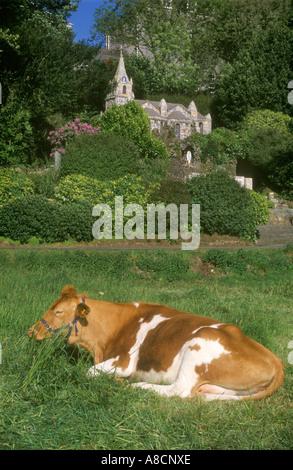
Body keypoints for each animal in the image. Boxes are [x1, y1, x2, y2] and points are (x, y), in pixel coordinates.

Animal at [28, 284, 282, 402]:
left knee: (178, 391)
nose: (32, 331)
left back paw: (136, 386)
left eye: (59, 311)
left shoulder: (124, 361)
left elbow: (89, 371)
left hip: (200, 344)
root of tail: (276, 361)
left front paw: (119, 381)